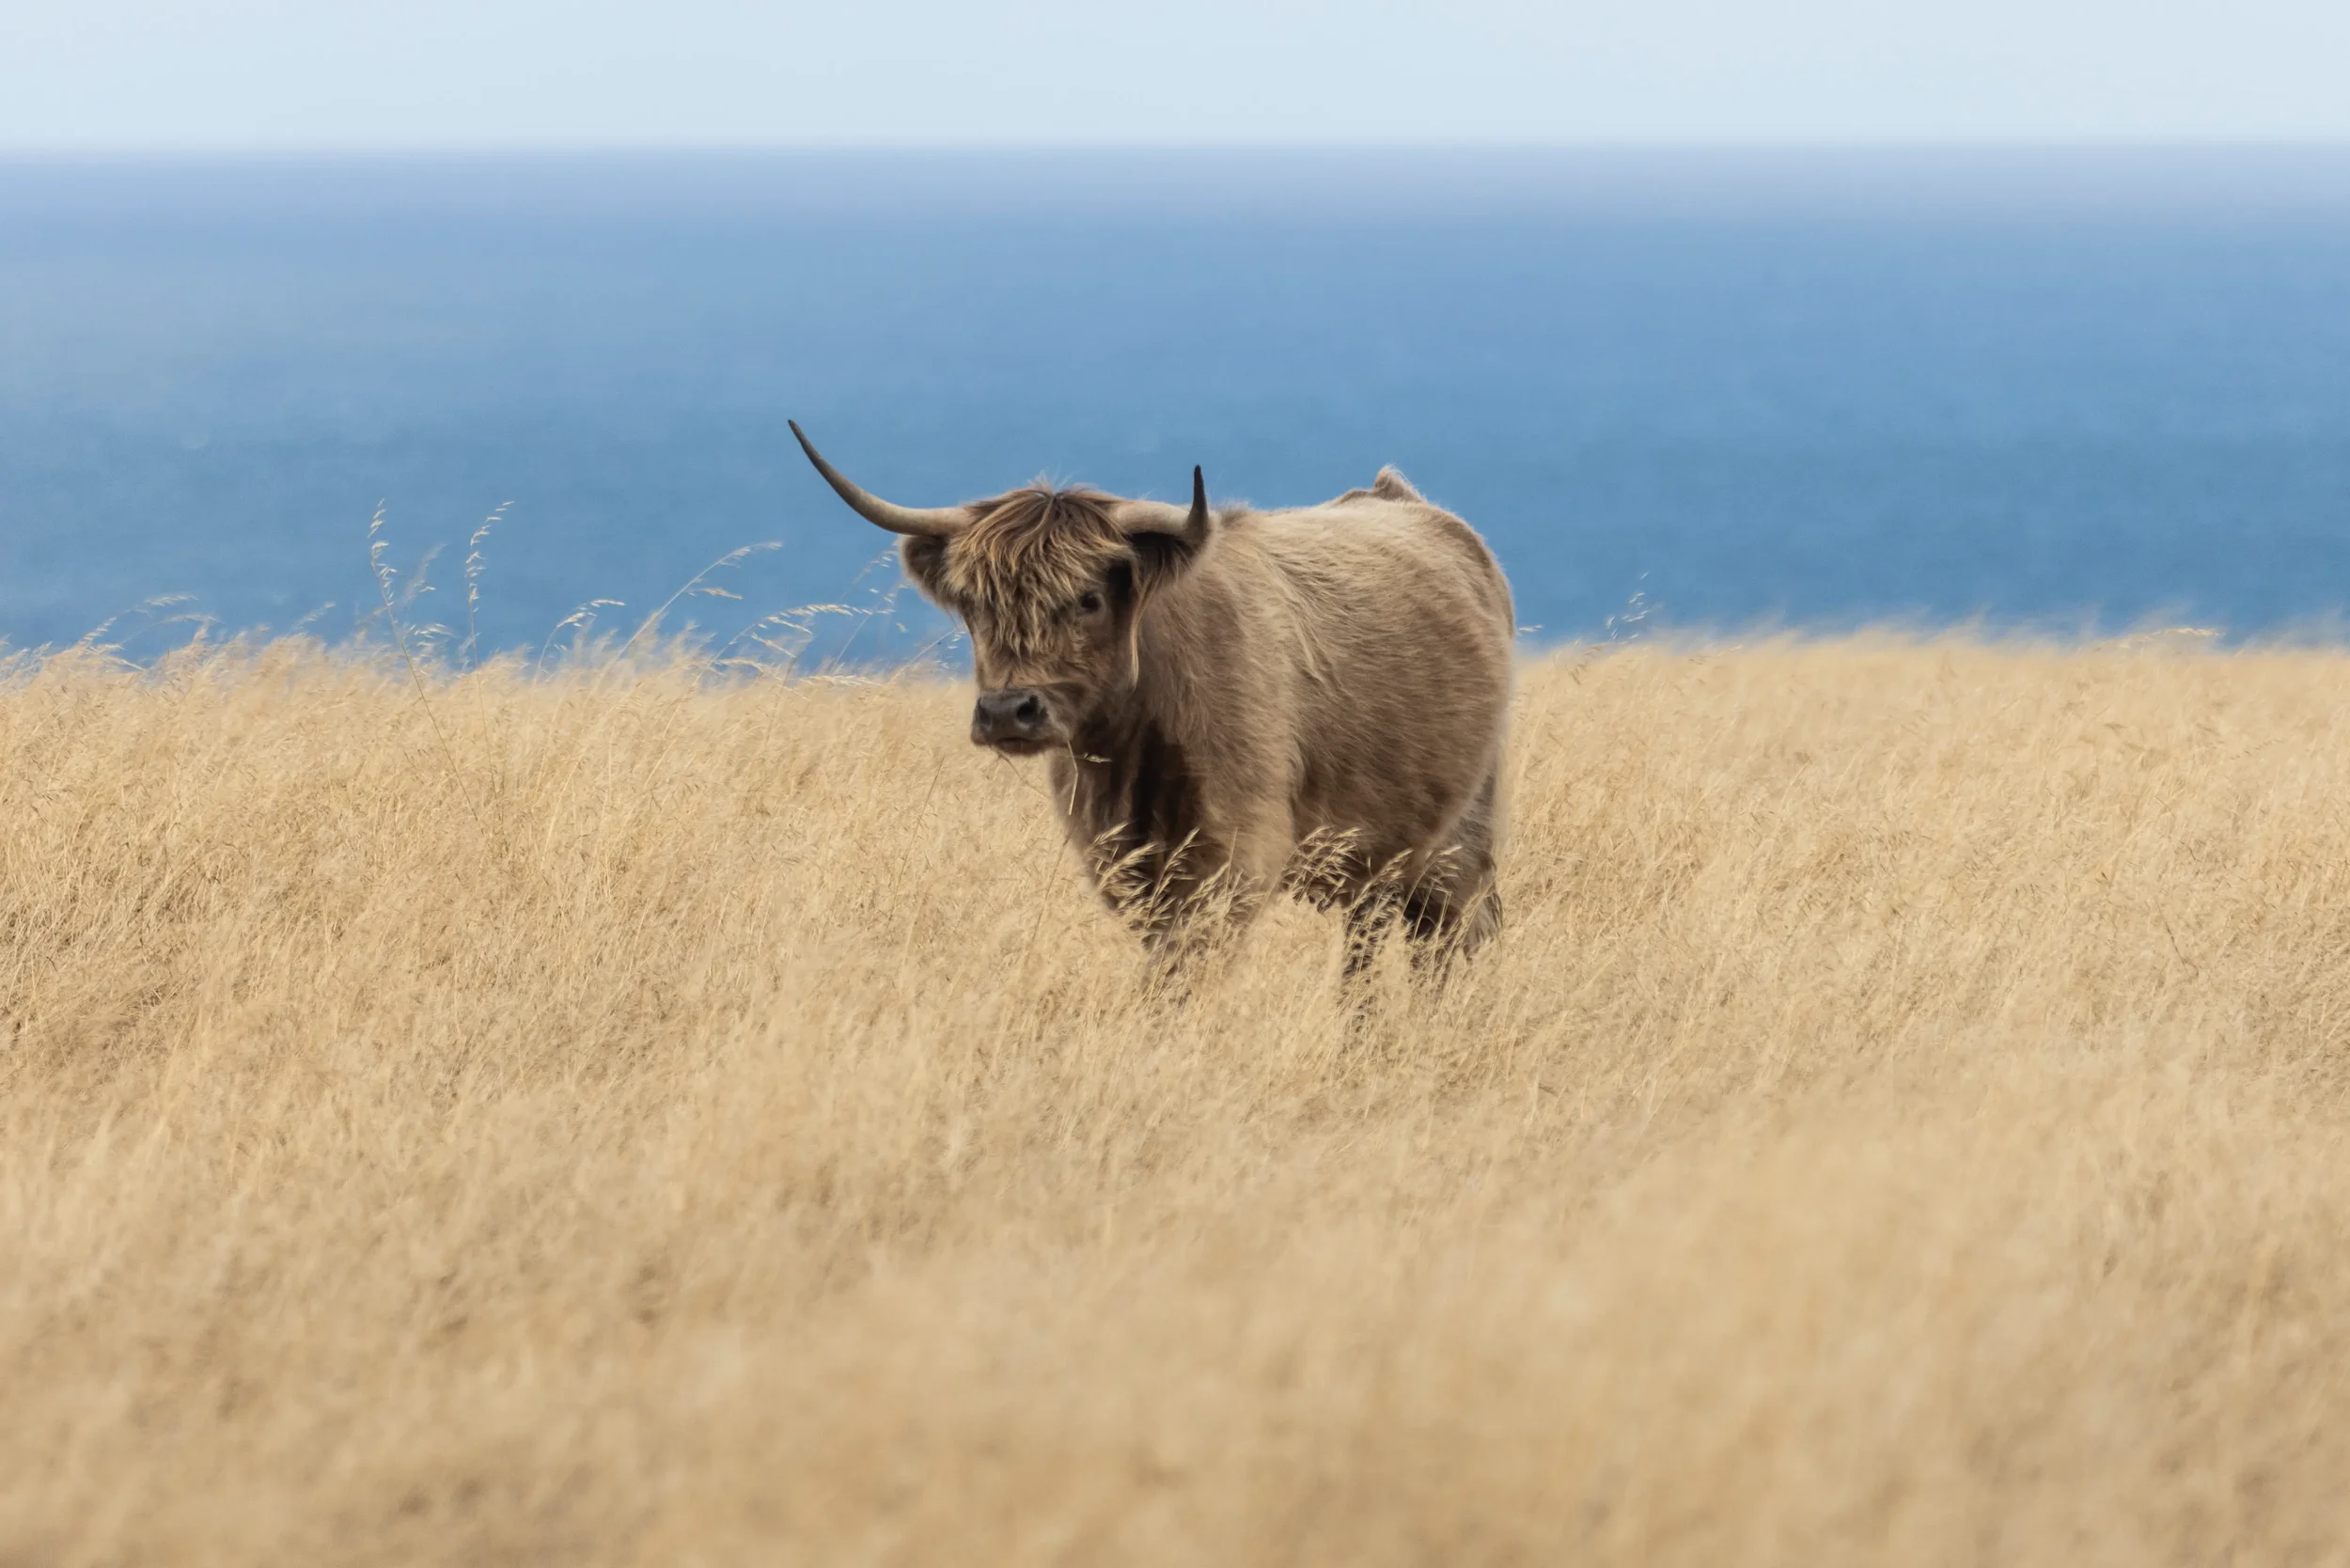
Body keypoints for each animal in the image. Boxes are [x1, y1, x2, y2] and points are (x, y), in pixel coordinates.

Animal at [790, 422, 1515, 974]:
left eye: (1088, 598)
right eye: (974, 605)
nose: (1006, 713)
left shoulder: (1237, 854)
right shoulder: (1121, 861)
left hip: (1457, 843)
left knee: (1445, 943)